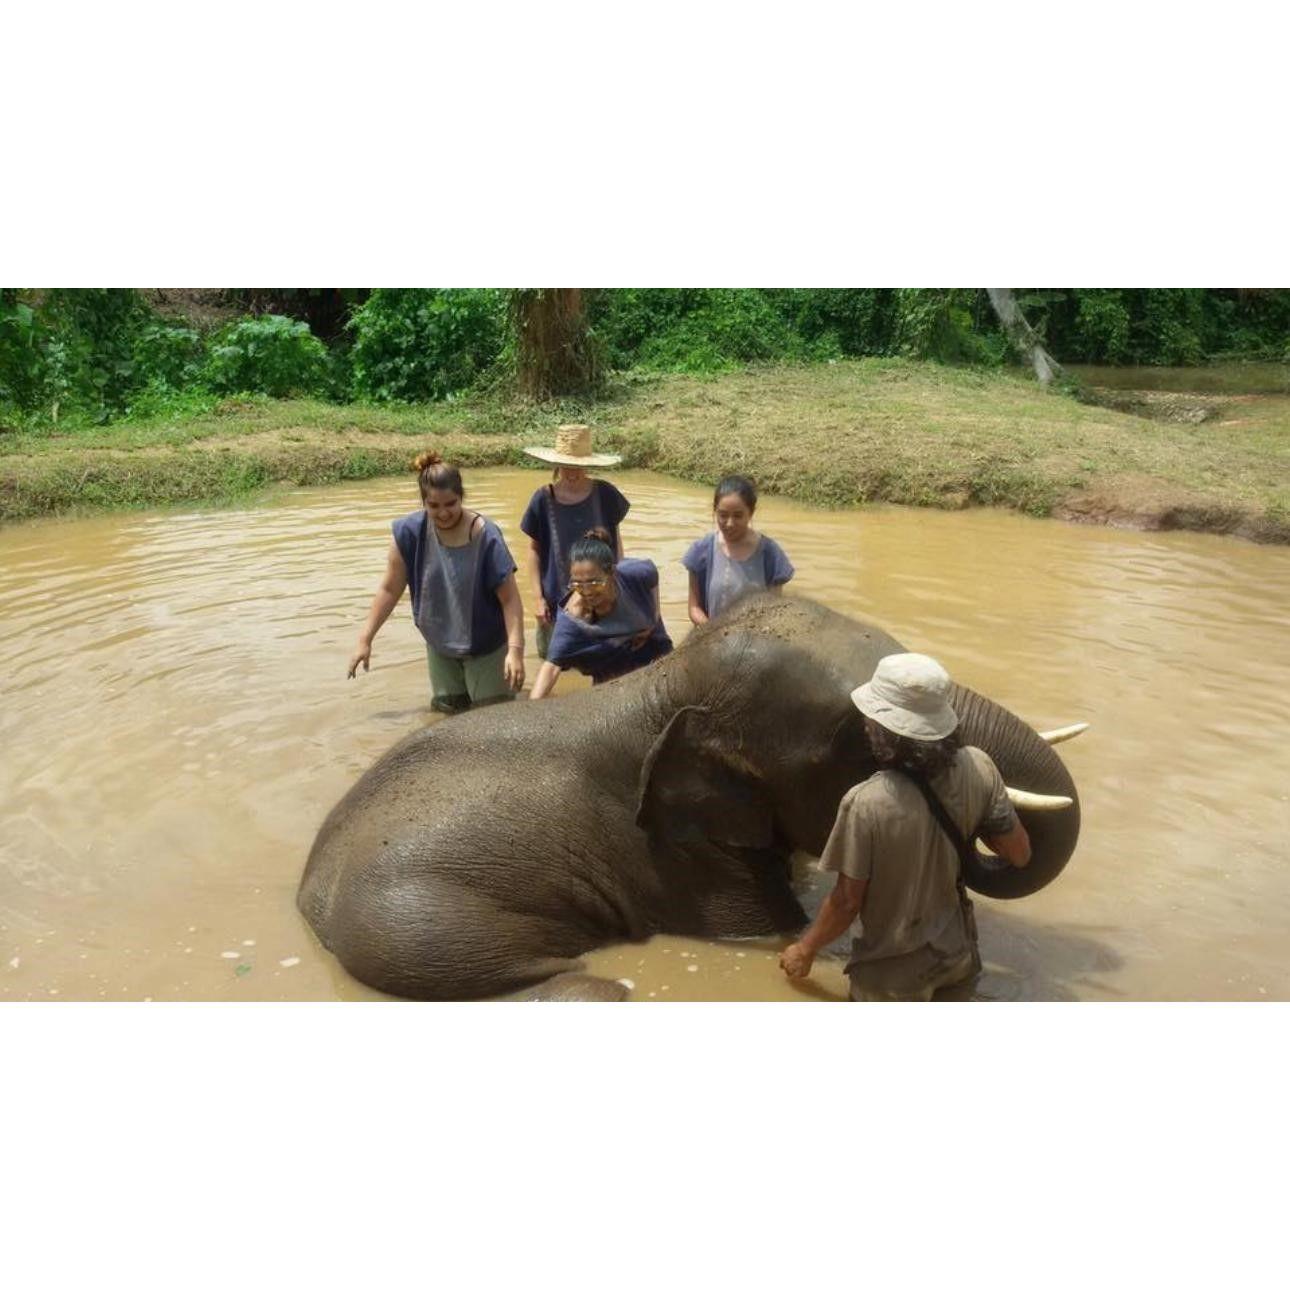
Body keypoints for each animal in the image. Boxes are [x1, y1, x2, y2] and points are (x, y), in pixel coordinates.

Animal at [298, 595, 1081, 1000]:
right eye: (858, 739)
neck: (664, 685)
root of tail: (310, 899)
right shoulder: (679, 854)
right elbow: (763, 927)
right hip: (422, 934)